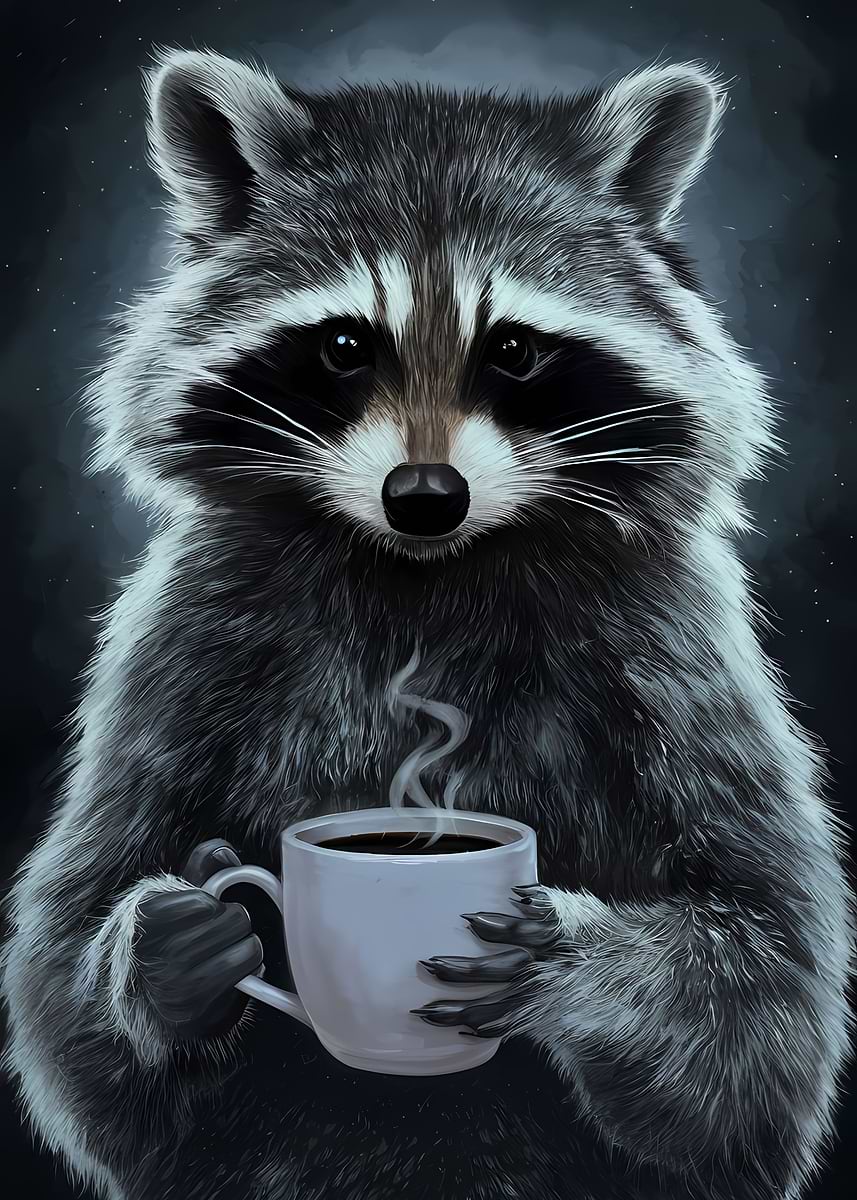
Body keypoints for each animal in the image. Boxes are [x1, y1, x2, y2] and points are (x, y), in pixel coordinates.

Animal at [1, 46, 854, 1200]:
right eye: (343, 345)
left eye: (516, 351)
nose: (423, 496)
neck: (424, 578)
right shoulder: (185, 637)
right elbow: (68, 976)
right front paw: (162, 956)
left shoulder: (671, 643)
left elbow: (768, 982)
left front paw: (574, 958)